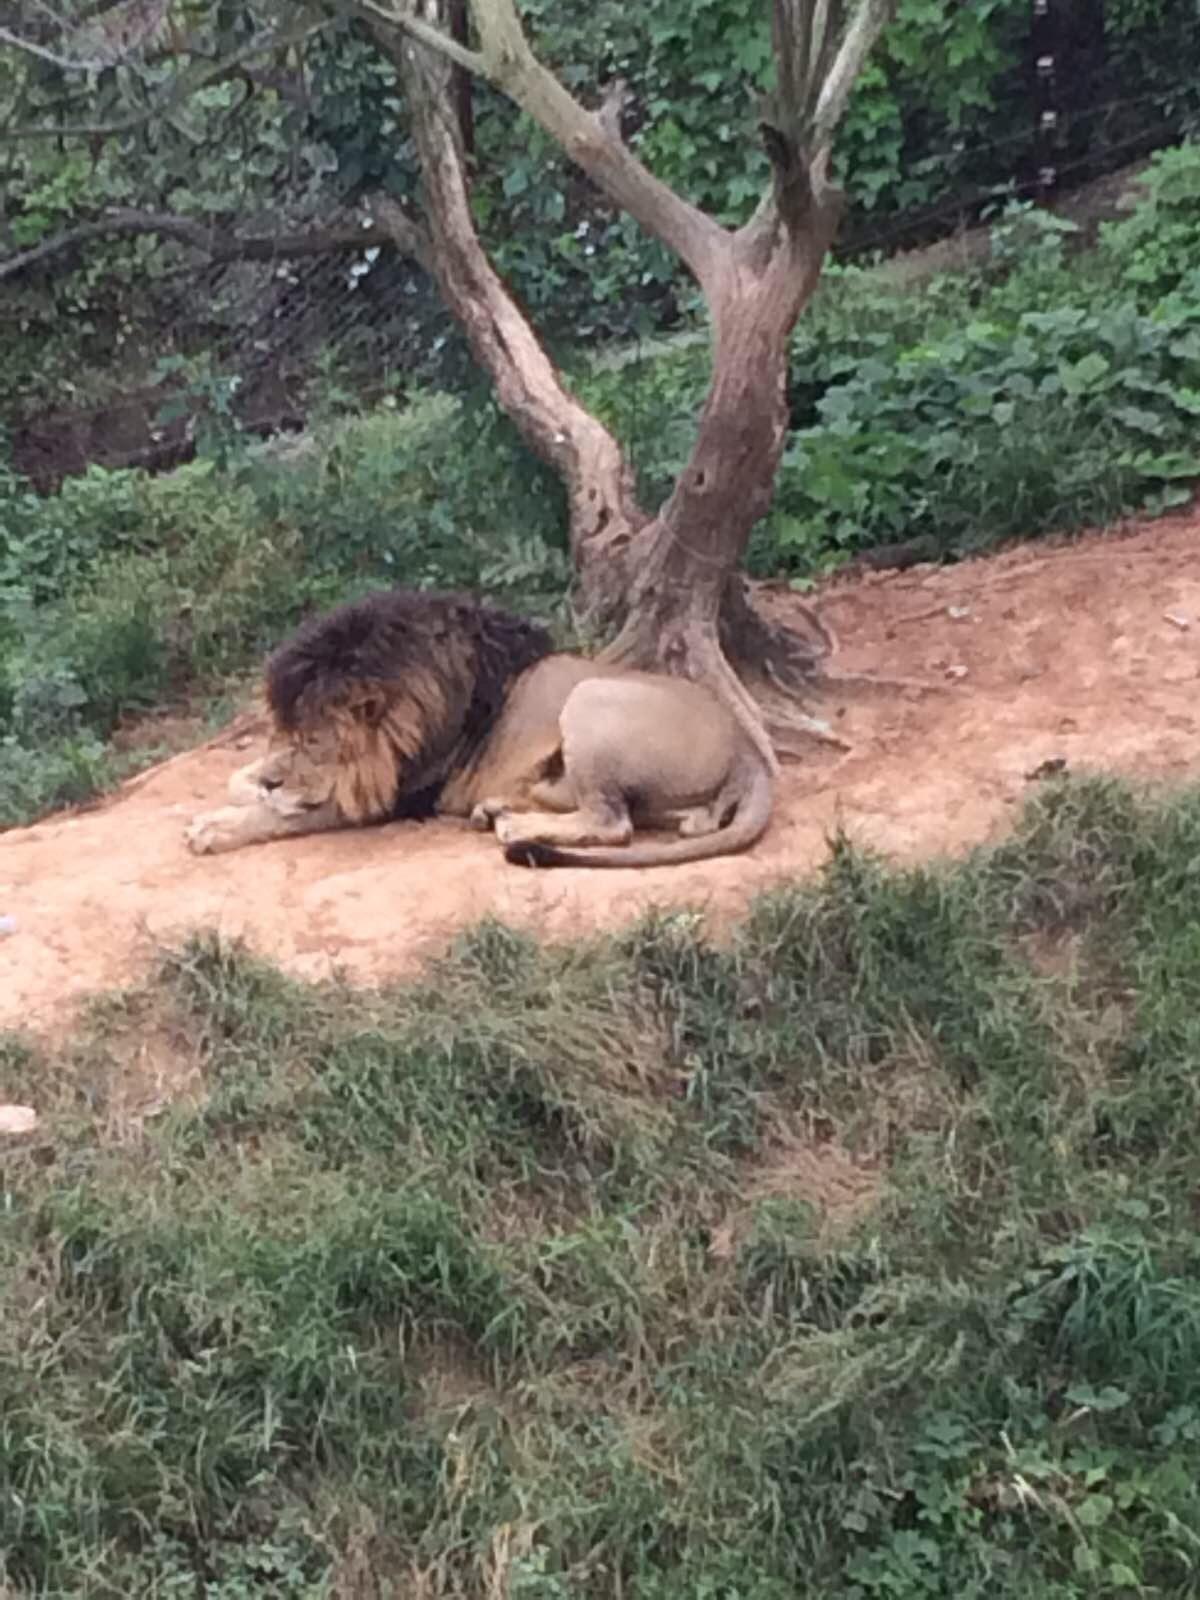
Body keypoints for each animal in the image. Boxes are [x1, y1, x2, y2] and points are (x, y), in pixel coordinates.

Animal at [183, 588, 774, 870]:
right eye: (279, 734)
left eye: (313, 742)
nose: (275, 779)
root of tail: (750, 749)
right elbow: (243, 781)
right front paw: (251, 788)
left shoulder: (397, 796)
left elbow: (283, 817)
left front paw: (213, 827)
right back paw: (499, 809)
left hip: (588, 698)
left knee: (613, 824)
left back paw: (515, 827)